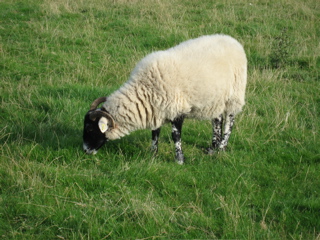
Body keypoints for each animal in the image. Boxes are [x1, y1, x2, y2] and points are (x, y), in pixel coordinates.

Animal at [82, 34, 248, 165]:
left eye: (89, 128)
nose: (85, 150)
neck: (144, 89)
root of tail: (232, 40)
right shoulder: (156, 110)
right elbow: (155, 133)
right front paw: (153, 154)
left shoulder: (177, 110)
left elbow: (176, 136)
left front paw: (179, 160)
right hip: (216, 99)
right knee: (217, 120)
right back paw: (213, 147)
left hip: (234, 94)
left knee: (229, 121)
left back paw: (221, 147)